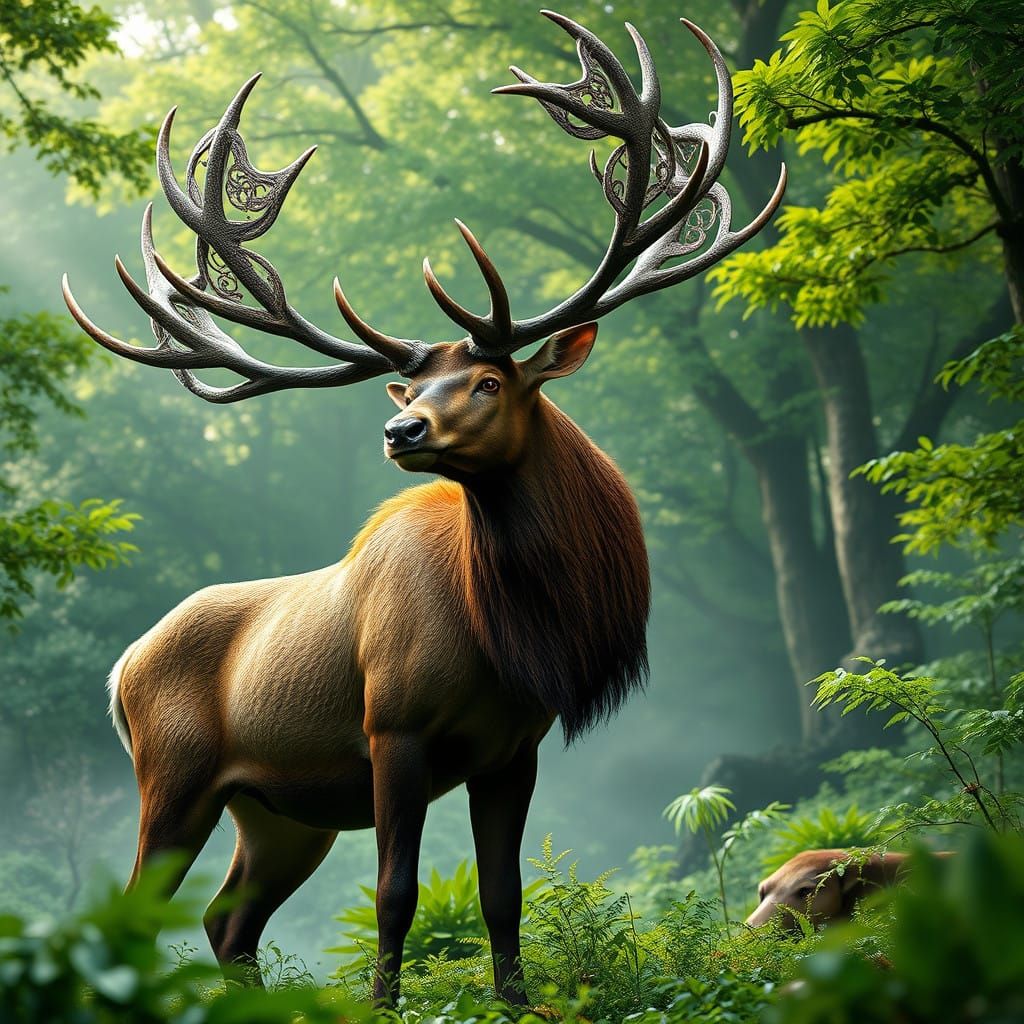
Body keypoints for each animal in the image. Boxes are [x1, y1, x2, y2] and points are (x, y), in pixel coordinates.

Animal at [62, 10, 784, 1006]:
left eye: (488, 380)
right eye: (417, 387)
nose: (401, 429)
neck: (507, 633)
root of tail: (121, 670)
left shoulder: (513, 747)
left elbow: (502, 894)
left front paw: (518, 1005)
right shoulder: (392, 730)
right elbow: (396, 892)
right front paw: (382, 1006)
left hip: (282, 812)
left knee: (226, 921)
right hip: (173, 778)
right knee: (139, 913)